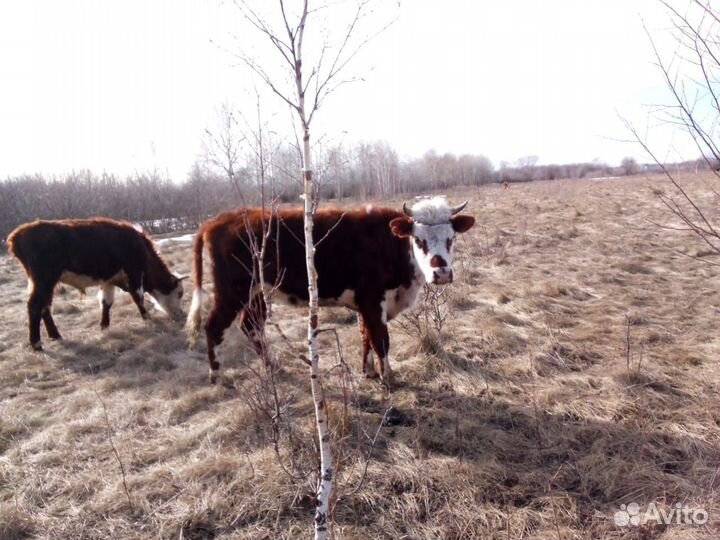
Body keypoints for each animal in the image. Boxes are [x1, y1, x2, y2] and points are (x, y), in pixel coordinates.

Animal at [7, 218, 185, 350]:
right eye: (179, 293)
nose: (182, 315)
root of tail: (19, 234)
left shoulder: (108, 280)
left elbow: (106, 303)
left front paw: (104, 326)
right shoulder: (134, 273)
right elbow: (138, 298)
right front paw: (147, 318)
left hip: (45, 284)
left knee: (45, 306)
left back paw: (55, 336)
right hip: (44, 280)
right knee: (35, 306)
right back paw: (37, 344)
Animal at [186, 196, 475, 386]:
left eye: (451, 238)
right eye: (418, 239)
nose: (442, 273)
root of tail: (219, 219)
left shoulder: (365, 303)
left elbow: (365, 336)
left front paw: (369, 371)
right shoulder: (373, 300)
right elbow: (380, 338)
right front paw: (388, 377)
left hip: (256, 292)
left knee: (251, 325)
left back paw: (273, 366)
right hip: (232, 291)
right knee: (214, 326)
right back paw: (217, 375)